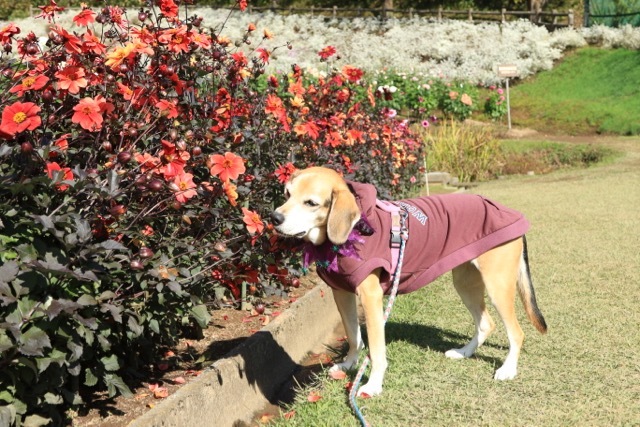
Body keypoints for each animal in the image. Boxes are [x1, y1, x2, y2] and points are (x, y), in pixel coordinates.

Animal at [270, 167, 544, 398]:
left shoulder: (370, 298)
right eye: (287, 194)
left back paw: (508, 370)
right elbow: (353, 335)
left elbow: (376, 351)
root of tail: (511, 212)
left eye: (311, 203)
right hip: (465, 283)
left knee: (516, 332)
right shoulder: (342, 293)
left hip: (498, 285)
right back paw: (463, 352)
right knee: (486, 324)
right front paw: (349, 363)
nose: (274, 217)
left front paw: (373, 385)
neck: (356, 229)